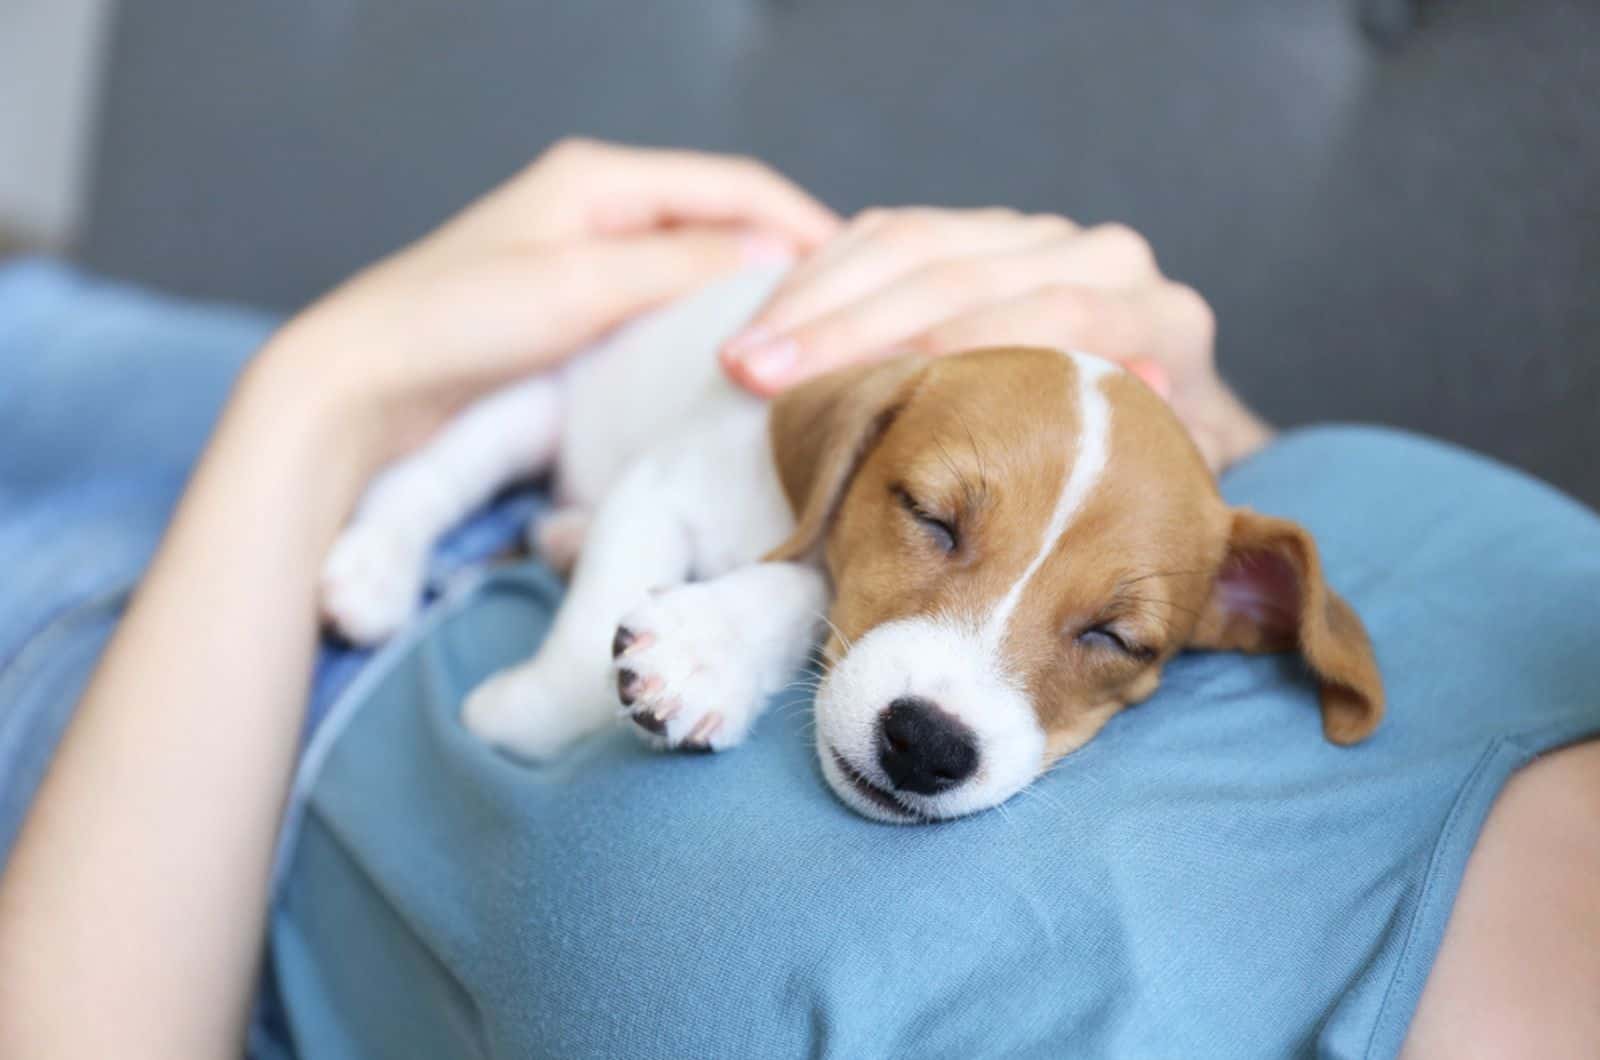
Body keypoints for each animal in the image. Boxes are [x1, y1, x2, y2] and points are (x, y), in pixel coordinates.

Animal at [318, 267, 1382, 832]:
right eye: (929, 516)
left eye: (1116, 639)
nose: (931, 746)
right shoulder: (662, 491)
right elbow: (576, 662)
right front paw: (520, 713)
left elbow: (801, 582)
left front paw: (711, 649)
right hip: (539, 398)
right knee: (428, 472)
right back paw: (375, 567)